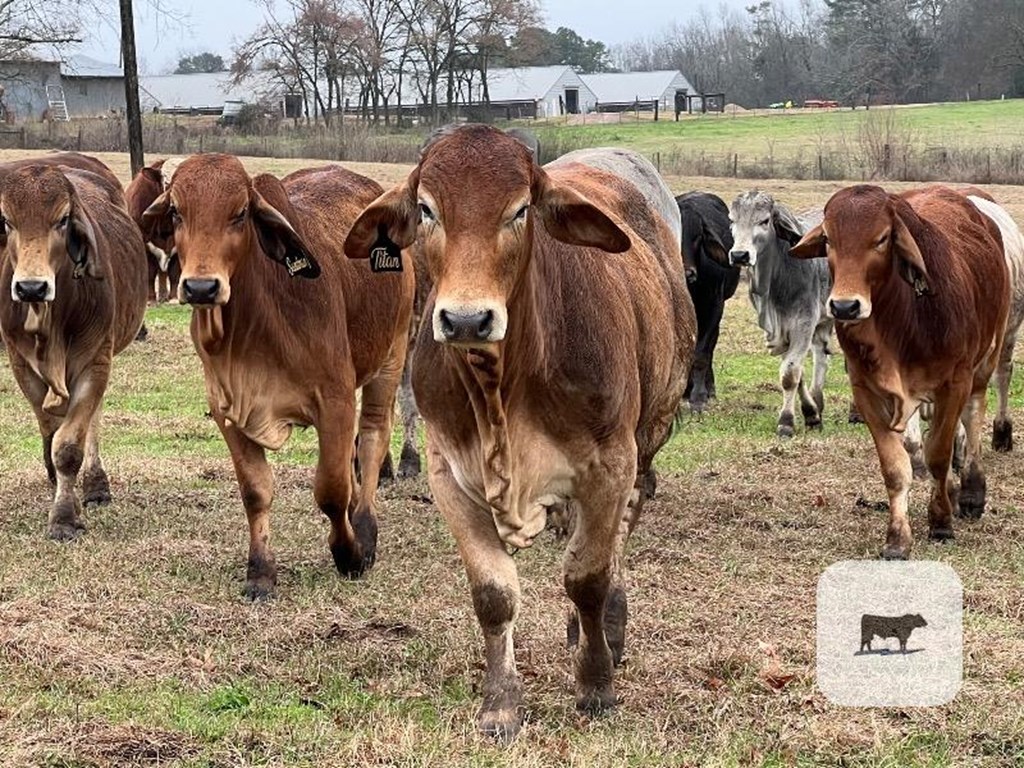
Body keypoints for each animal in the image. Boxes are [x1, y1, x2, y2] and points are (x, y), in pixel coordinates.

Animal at [675, 192, 741, 415]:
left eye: (698, 237)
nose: (687, 273)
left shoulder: (714, 306)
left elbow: (702, 353)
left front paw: (698, 397)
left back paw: (708, 388)